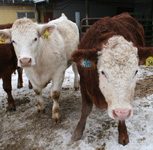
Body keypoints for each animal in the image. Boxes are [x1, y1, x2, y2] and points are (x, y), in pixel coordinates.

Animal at [71, 12, 153, 145]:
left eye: (136, 71)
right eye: (103, 72)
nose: (121, 111)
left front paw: (123, 133)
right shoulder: (83, 82)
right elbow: (86, 109)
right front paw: (78, 131)